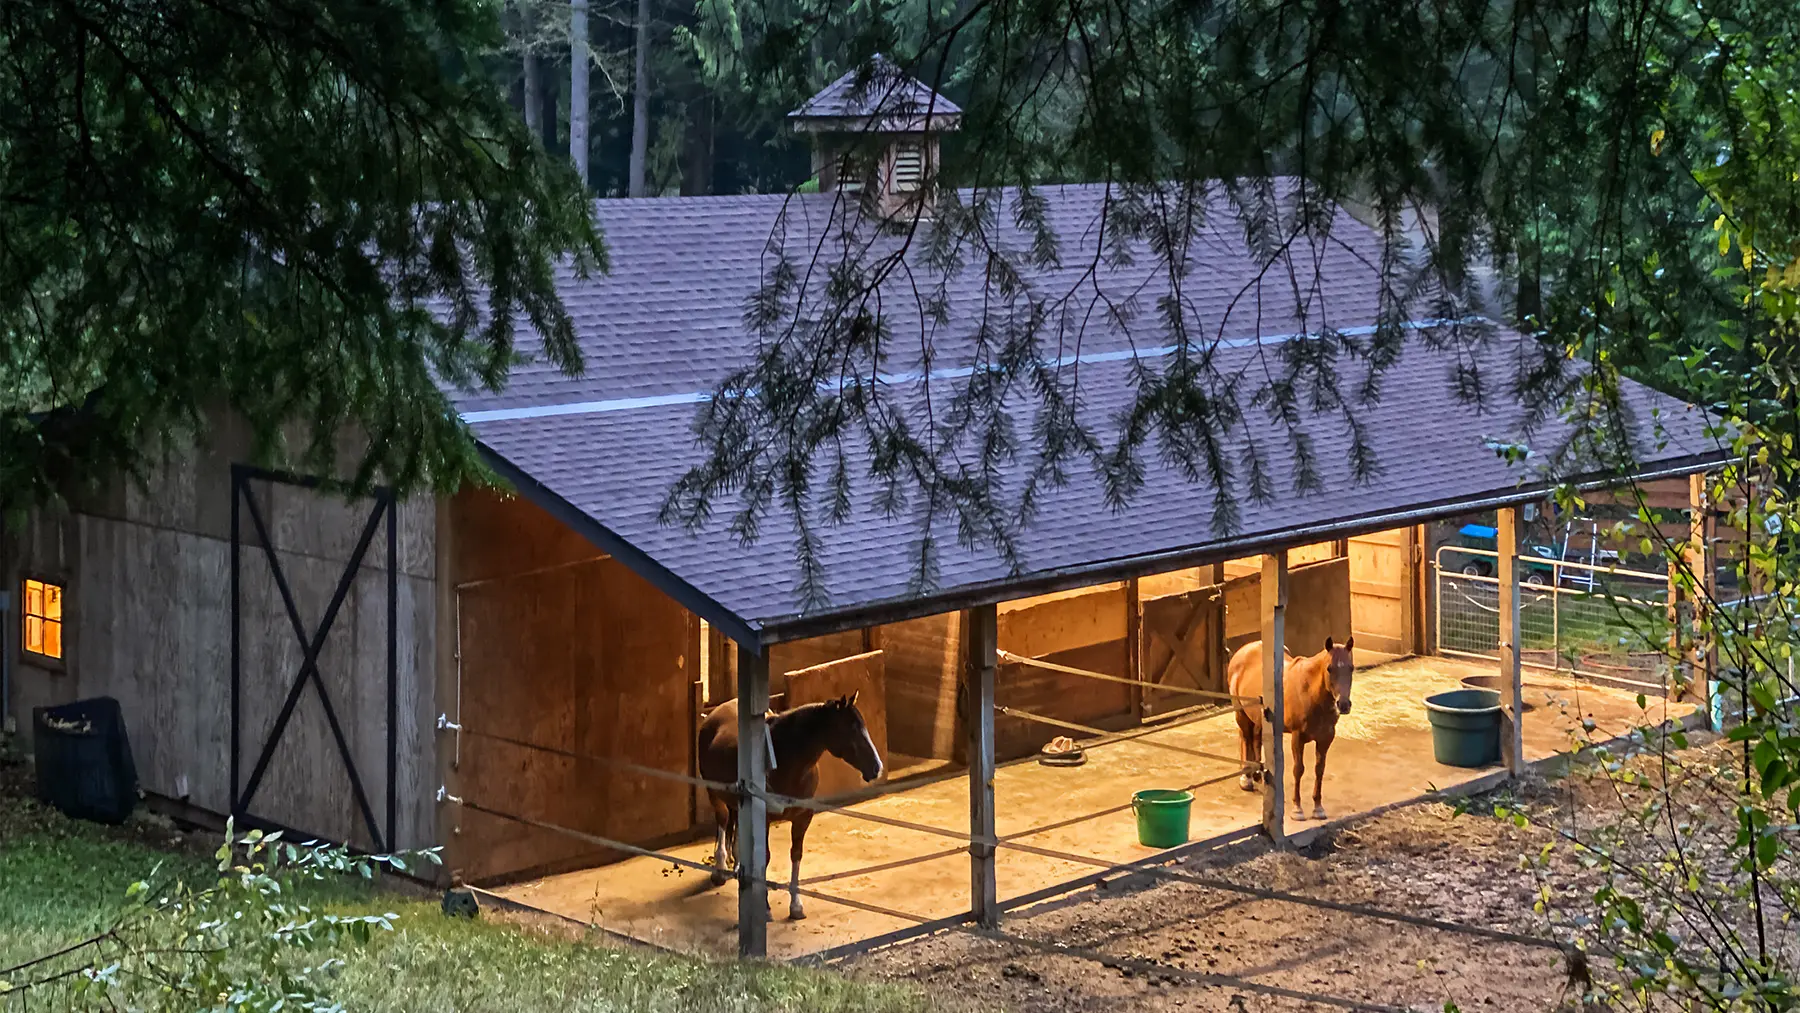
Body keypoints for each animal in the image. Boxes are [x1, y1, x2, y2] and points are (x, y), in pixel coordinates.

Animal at [691, 698, 882, 921]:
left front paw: (796, 906)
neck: (785, 763)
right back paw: (719, 870)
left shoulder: (802, 818)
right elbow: (764, 858)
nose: (877, 767)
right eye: (850, 728)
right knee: (722, 821)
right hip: (714, 794)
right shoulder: (764, 819)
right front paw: (765, 908)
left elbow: (796, 855)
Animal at [1231, 640, 1353, 824]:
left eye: (1351, 668)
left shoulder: (1325, 738)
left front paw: (1318, 809)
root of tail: (1244, 649)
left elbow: (1319, 769)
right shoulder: (1298, 737)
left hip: (1259, 719)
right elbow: (1298, 770)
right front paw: (1298, 810)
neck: (1311, 693)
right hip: (1241, 714)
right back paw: (1247, 779)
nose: (1344, 704)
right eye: (1330, 668)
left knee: (1255, 739)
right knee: (1245, 738)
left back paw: (1258, 775)